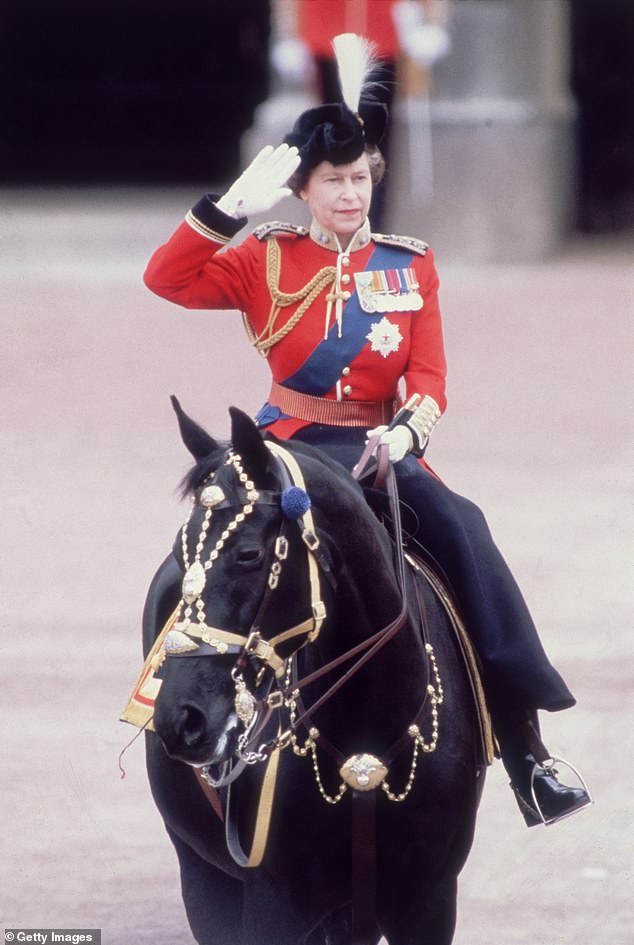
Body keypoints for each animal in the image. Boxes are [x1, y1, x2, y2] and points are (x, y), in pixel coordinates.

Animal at [142, 402, 484, 940]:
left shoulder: (428, 901)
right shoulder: (273, 902)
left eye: (248, 554)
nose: (180, 720)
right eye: (182, 552)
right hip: (203, 875)